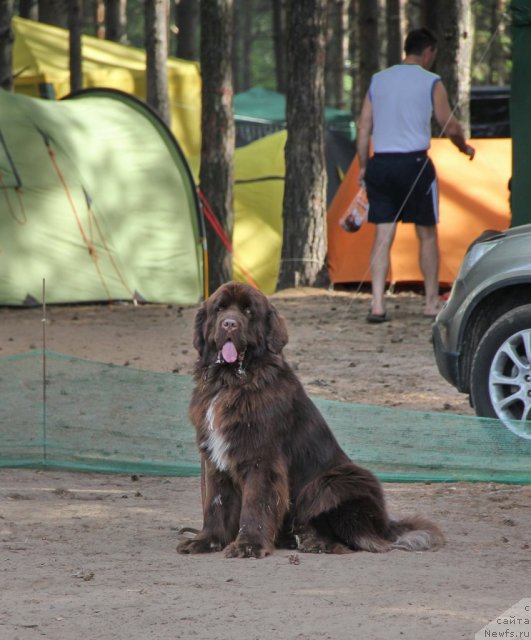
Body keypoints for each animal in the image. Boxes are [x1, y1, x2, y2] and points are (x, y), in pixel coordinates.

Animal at [179, 282, 444, 556]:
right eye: (219, 309)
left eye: (248, 311)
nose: (229, 324)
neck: (230, 383)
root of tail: (385, 525)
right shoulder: (216, 461)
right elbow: (215, 504)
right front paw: (206, 540)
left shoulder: (261, 460)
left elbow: (255, 505)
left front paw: (248, 545)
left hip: (337, 480)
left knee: (360, 538)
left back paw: (315, 542)